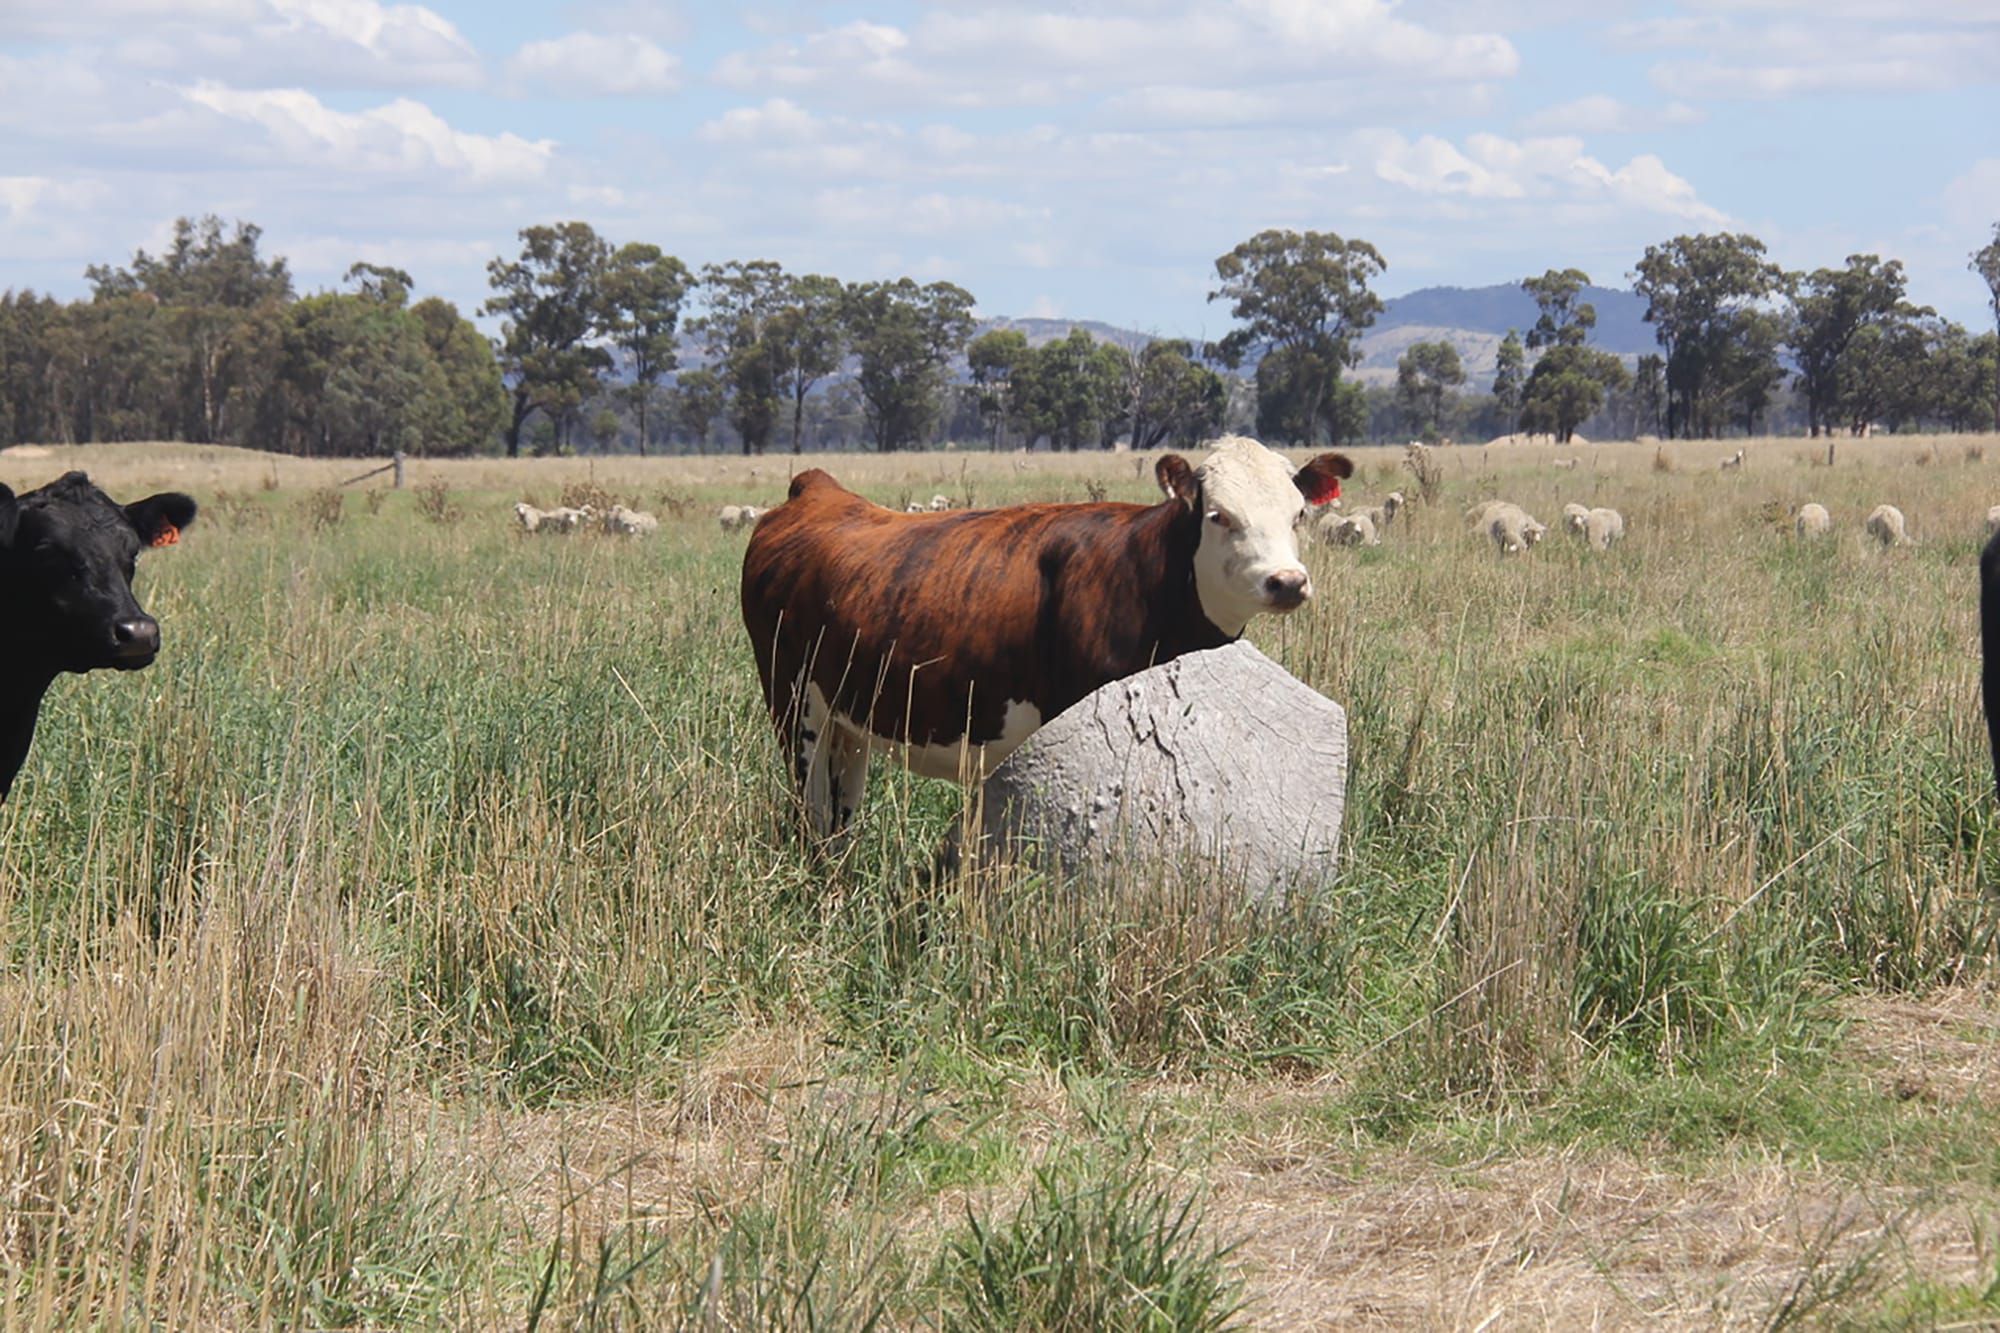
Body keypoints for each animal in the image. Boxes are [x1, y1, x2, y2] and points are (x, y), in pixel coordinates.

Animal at [740, 435, 1351, 841]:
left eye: (1298, 513)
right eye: (1220, 515)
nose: (1287, 581)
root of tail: (818, 490)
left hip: (850, 719)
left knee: (839, 815)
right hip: (793, 706)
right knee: (812, 811)